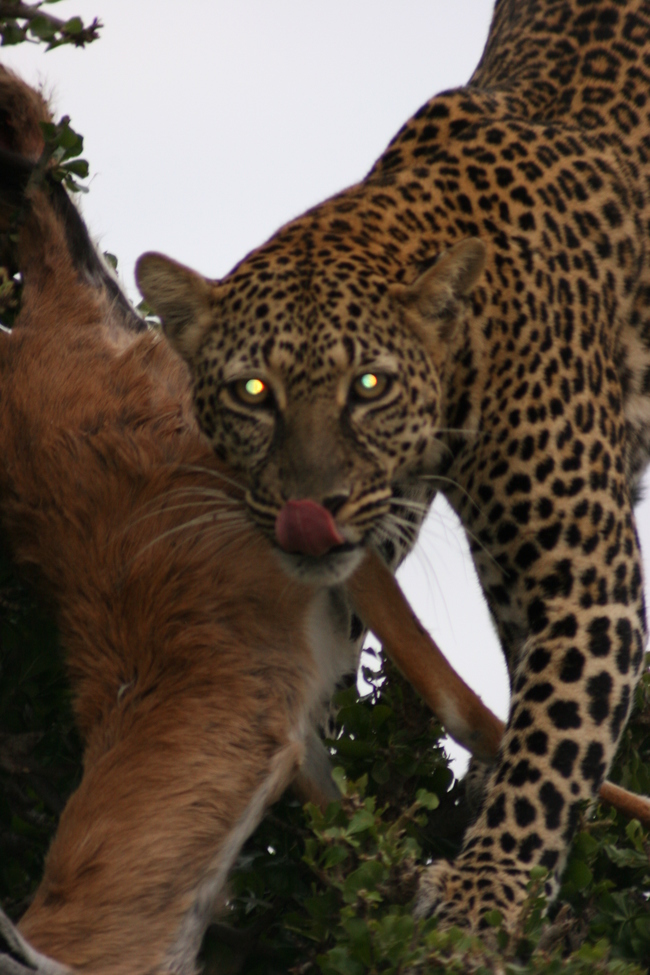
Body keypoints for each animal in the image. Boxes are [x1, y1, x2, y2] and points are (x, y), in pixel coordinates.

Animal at [136, 0, 650, 932]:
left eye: (368, 386)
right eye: (252, 391)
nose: (312, 509)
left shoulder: (585, 576)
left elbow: (551, 749)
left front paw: (485, 899)